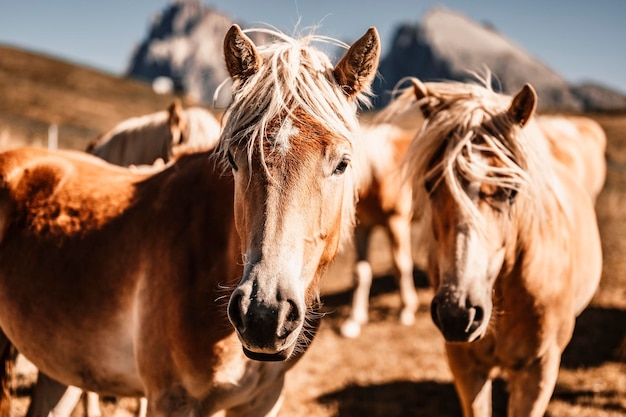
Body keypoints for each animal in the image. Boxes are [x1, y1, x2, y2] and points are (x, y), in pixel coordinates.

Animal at [0, 23, 380, 416]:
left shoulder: (265, 399)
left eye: (342, 164)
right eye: (233, 159)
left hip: (61, 367)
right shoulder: (171, 399)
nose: (263, 315)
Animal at [336, 118, 420, 338]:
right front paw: (354, 321)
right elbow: (360, 272)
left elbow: (400, 265)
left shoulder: (397, 222)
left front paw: (406, 311)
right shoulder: (362, 229)